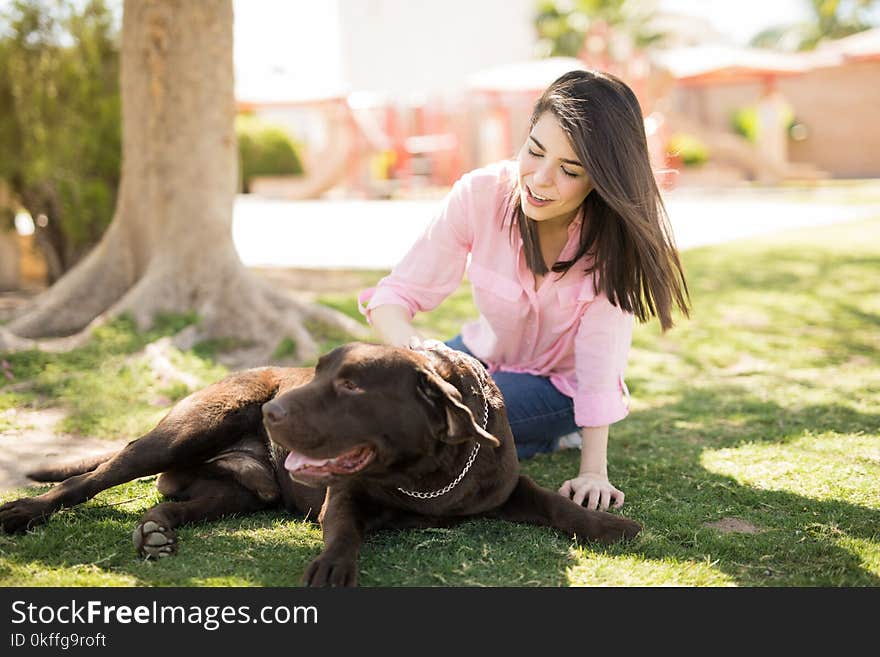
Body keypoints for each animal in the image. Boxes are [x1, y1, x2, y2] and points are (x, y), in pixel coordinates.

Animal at [0, 344, 640, 584]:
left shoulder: (506, 486)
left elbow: (554, 503)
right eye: (317, 371)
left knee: (180, 502)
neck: (426, 476)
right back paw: (23, 511)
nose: (274, 412)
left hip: (240, 492)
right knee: (92, 479)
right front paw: (333, 566)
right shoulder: (346, 494)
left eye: (353, 385)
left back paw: (158, 530)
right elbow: (343, 531)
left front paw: (607, 524)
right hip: (182, 432)